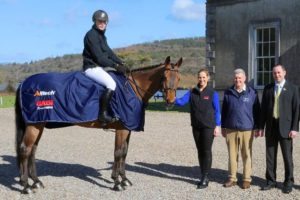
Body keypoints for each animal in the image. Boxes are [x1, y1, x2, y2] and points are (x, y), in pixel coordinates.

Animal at [14, 56, 183, 194]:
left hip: (39, 124)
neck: (132, 89)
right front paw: (117, 183)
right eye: (164, 77)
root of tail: (24, 83)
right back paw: (26, 186)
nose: (170, 102)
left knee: (32, 150)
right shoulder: (122, 129)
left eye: (179, 78)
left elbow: (124, 153)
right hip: (34, 126)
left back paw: (36, 181)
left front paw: (123, 179)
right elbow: (118, 153)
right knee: (25, 150)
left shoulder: (127, 129)